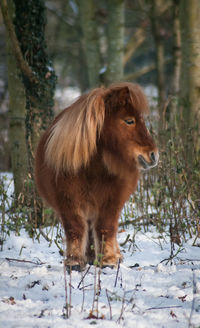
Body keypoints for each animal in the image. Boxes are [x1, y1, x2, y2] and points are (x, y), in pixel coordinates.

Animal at [35, 81, 159, 270]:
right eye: (129, 121)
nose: (153, 155)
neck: (91, 169)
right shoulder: (67, 201)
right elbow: (75, 229)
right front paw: (74, 262)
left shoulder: (111, 202)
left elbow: (105, 228)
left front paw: (108, 260)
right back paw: (89, 256)